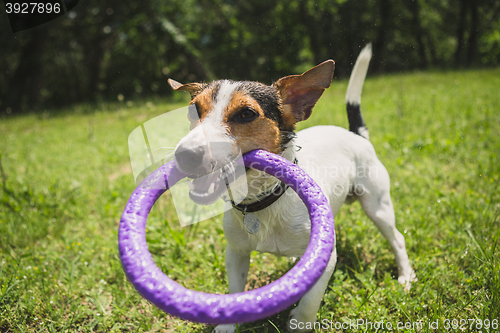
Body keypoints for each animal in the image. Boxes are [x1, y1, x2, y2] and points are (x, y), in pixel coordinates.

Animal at [167, 44, 414, 332]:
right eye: (192, 111)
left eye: (246, 114)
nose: (185, 155)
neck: (263, 201)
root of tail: (355, 134)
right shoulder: (236, 253)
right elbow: (235, 289)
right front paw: (227, 324)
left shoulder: (326, 257)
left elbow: (310, 301)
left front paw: (300, 322)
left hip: (378, 206)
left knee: (397, 239)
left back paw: (406, 276)